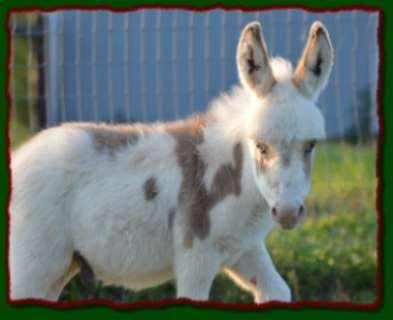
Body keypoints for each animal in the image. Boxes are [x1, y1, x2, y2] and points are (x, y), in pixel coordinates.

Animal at [9, 21, 330, 302]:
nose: (288, 212)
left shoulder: (245, 250)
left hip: (57, 270)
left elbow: (279, 291)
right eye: (260, 146)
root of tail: (19, 156)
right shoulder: (196, 257)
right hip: (32, 265)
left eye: (311, 145)